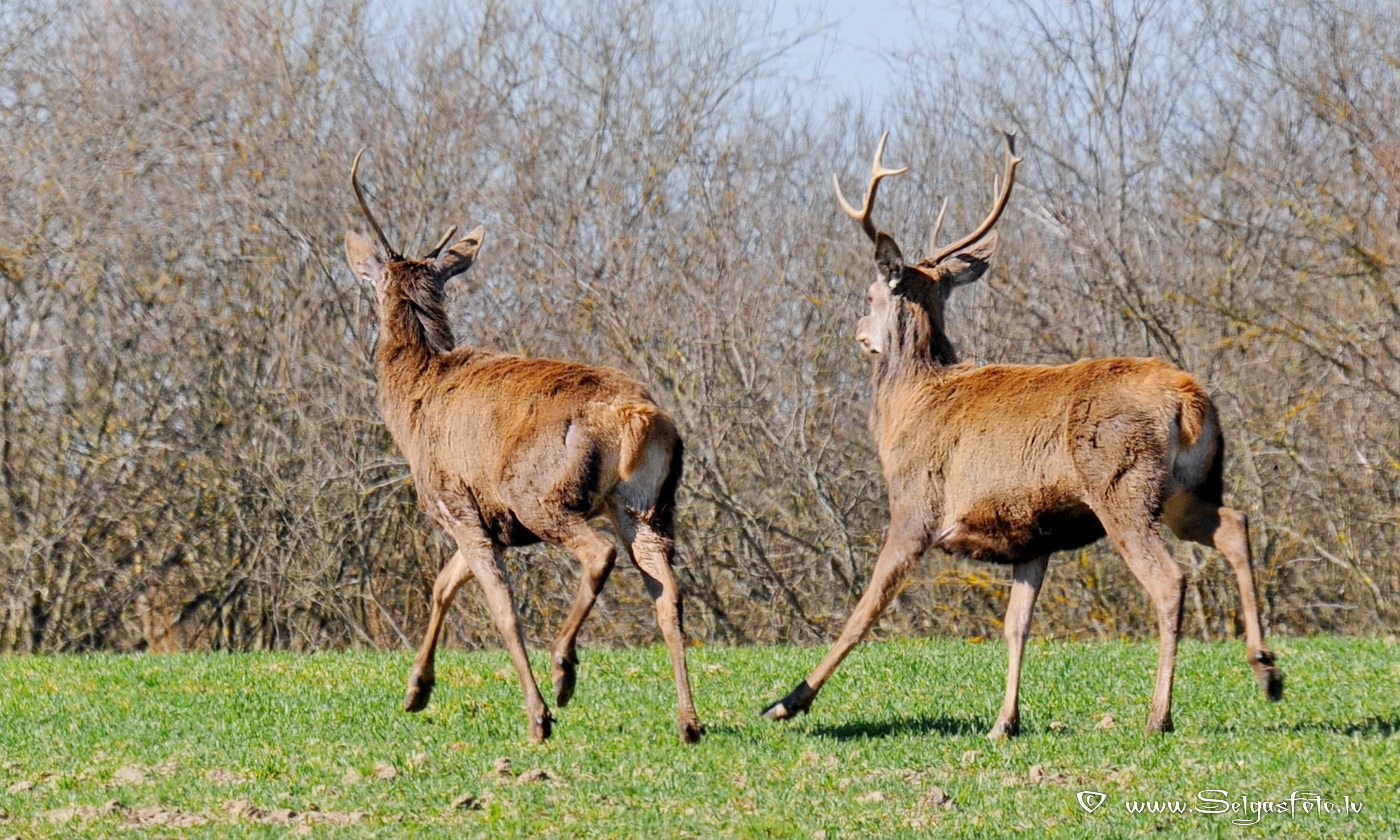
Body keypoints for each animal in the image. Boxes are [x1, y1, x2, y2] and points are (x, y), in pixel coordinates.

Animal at [342, 149, 701, 744]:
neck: (412, 402)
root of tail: (636, 417)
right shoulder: (494, 520)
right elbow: (442, 584)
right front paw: (415, 690)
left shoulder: (454, 502)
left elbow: (500, 607)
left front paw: (536, 716)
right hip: (646, 505)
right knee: (667, 593)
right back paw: (688, 721)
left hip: (542, 492)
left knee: (598, 555)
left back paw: (563, 672)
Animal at [761, 132, 1283, 737]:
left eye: (870, 295)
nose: (858, 332)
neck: (908, 406)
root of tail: (1190, 400)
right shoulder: (1031, 535)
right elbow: (1016, 626)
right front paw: (1004, 722)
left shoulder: (916, 507)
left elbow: (863, 611)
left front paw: (786, 701)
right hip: (1186, 488)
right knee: (1235, 525)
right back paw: (1267, 670)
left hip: (1122, 485)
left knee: (1169, 579)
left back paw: (1160, 715)